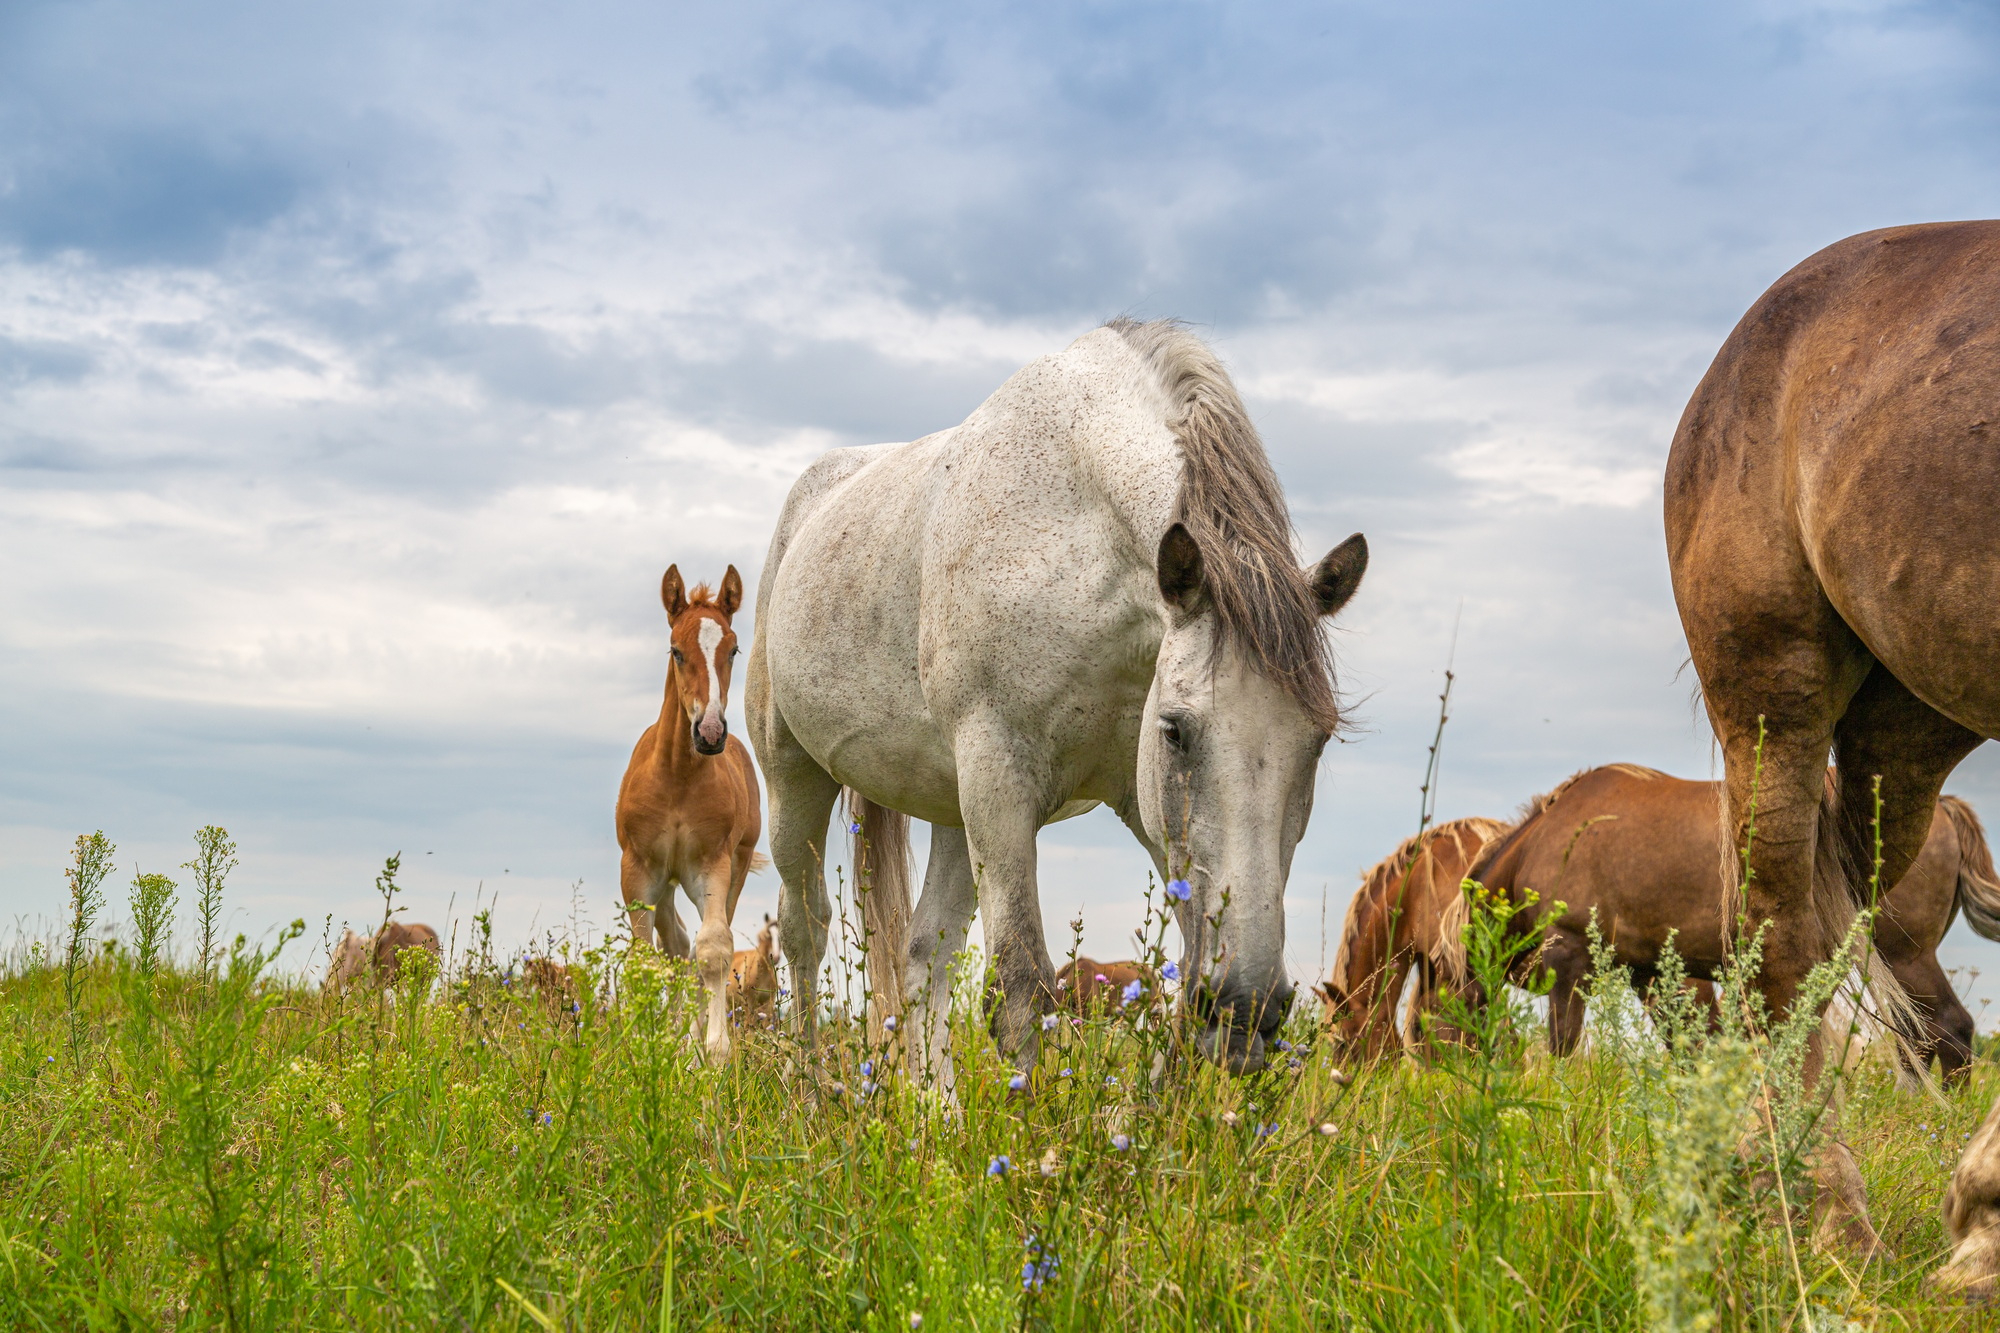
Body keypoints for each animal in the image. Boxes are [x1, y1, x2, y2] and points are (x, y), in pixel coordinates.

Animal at [616, 564, 764, 1056]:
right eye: (676, 651)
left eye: (733, 649)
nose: (710, 731)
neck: (678, 777)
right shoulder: (638, 869)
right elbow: (647, 957)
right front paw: (643, 1045)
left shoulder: (712, 864)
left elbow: (714, 948)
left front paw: (713, 1049)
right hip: (665, 881)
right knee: (676, 943)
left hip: (733, 866)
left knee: (699, 944)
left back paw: (691, 1040)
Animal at [744, 316, 1368, 1088]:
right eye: (1175, 731)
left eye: (1317, 740)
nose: (1246, 1009)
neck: (1077, 529)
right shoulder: (1002, 783)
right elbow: (1021, 993)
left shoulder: (1137, 805)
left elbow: (1178, 980)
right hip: (798, 782)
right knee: (804, 927)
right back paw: (813, 1094)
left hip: (957, 812)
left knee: (923, 953)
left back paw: (934, 1113)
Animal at [1440, 768, 2000, 1080]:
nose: (1448, 1072)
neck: (1544, 842)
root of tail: (1945, 809)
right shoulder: (1651, 974)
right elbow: (1691, 1047)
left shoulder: (1568, 959)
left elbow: (1561, 1047)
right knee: (1918, 1041)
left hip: (1904, 955)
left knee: (1948, 1033)